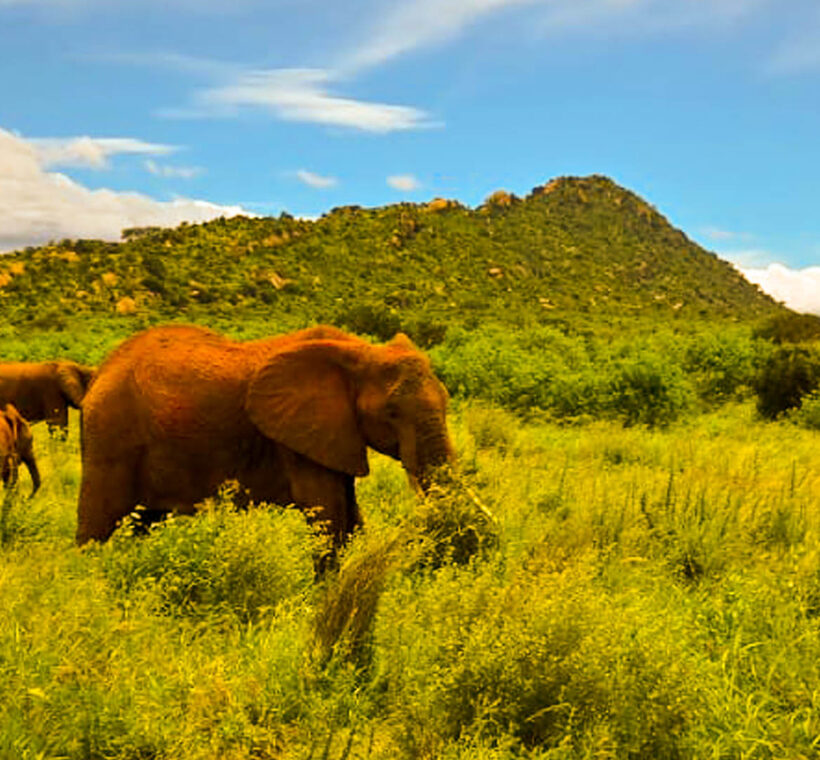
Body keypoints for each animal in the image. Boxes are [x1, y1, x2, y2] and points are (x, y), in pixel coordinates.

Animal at [76, 324, 455, 545]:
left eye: (447, 400)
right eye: (391, 413)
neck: (360, 351)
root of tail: (99, 372)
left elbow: (350, 515)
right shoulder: (299, 437)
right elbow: (327, 514)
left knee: (142, 522)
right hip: (109, 434)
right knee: (98, 525)